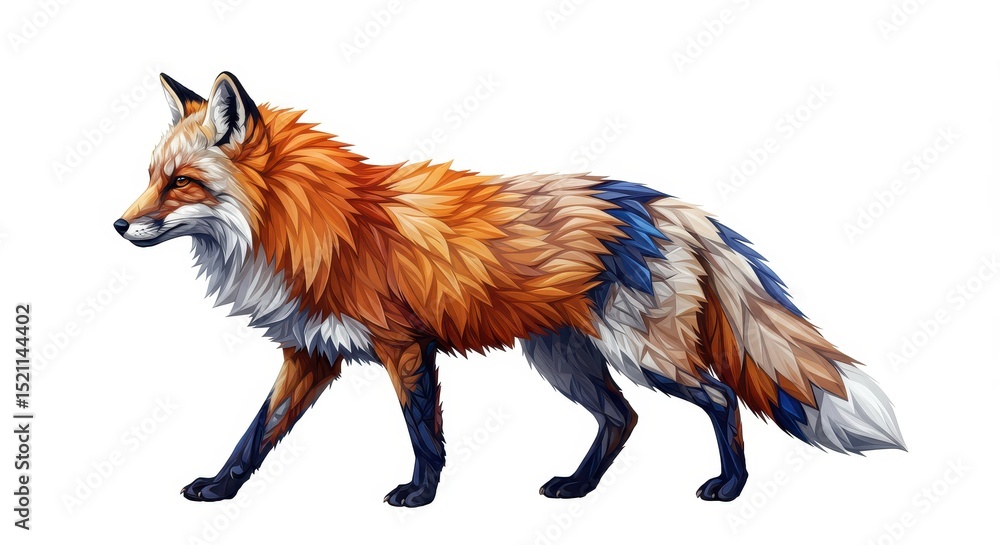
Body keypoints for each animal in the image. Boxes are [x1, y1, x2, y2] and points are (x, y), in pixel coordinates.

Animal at [115, 72, 904, 506]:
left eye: (180, 183)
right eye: (152, 177)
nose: (119, 225)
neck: (318, 225)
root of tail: (666, 203)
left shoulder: (405, 346)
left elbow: (424, 433)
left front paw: (420, 496)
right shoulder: (310, 354)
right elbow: (254, 433)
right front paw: (219, 488)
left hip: (645, 355)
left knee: (721, 397)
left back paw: (730, 486)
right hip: (564, 360)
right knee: (622, 419)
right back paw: (579, 488)